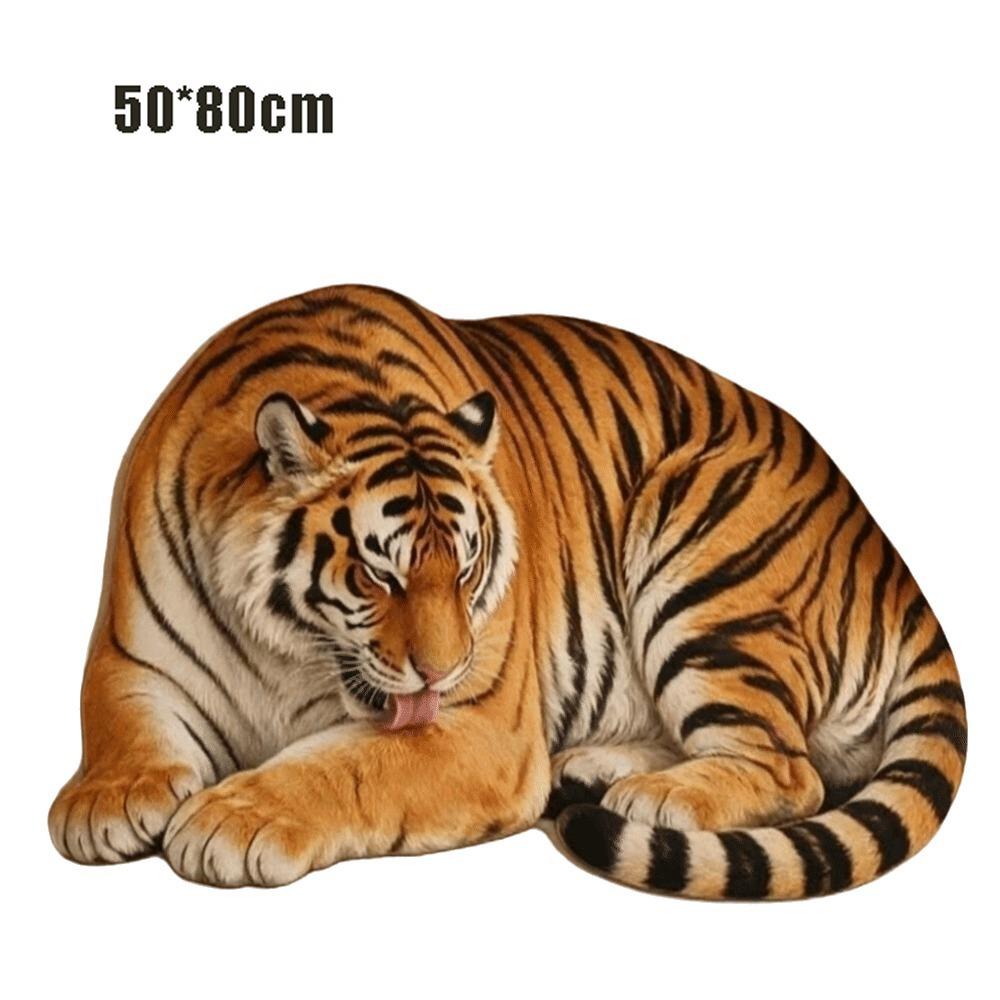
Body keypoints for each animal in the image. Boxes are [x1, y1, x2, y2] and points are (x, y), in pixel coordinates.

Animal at [48, 283, 966, 898]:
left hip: (703, 545)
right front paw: (103, 804)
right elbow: (118, 719)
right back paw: (596, 767)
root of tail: (890, 558)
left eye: (465, 569)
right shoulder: (130, 649)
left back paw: (655, 795)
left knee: (790, 767)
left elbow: (346, 766)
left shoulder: (479, 726)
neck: (282, 647)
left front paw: (230, 819)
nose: (442, 671)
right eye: (377, 574)